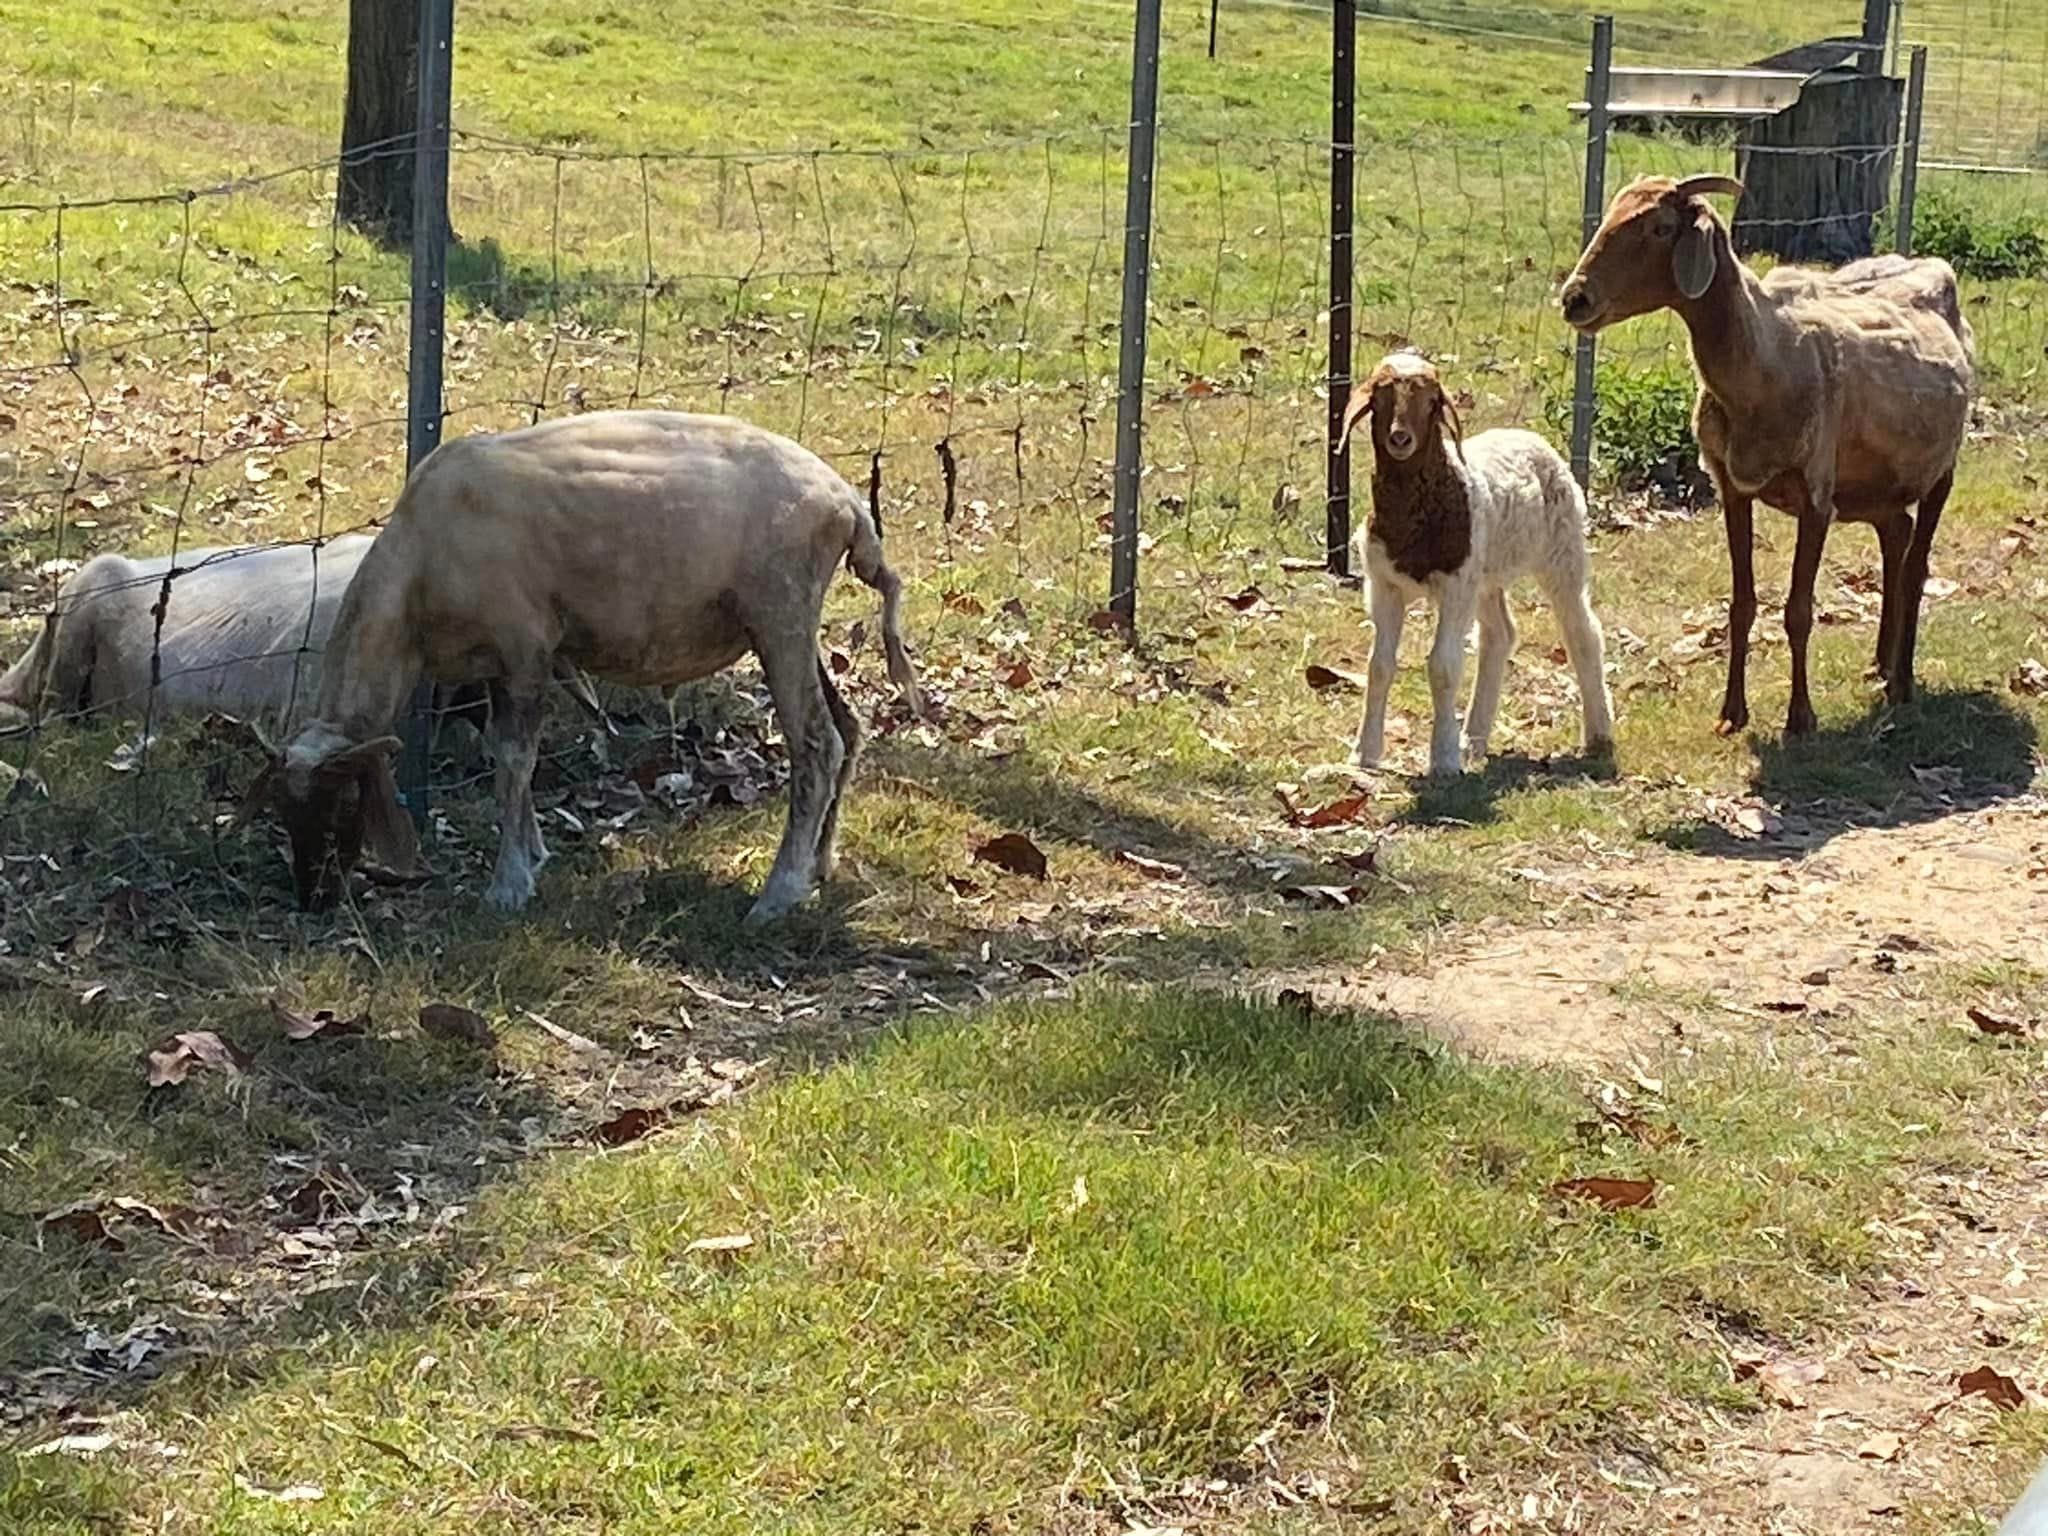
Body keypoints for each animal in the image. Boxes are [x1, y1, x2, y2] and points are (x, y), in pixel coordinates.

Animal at [251, 403, 925, 925]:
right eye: (281, 809)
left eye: (346, 805)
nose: (313, 898)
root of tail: (846, 505)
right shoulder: (501, 664)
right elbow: (507, 759)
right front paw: (533, 853)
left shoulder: (526, 645)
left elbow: (513, 760)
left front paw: (509, 883)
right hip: (792, 625)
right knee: (848, 728)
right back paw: (818, 865)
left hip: (780, 609)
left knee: (817, 744)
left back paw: (778, 894)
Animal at [1343, 350, 1613, 782]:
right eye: (1379, 398)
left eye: (1432, 402)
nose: (1400, 438)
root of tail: (1530, 437)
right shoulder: (1384, 585)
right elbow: (1379, 666)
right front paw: (1365, 753)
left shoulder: (1455, 585)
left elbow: (1443, 666)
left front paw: (1443, 758)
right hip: (1485, 575)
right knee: (1499, 635)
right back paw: (1474, 737)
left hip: (1561, 554)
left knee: (1583, 633)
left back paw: (1599, 732)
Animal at [1556, 174, 1974, 741]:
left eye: (1661, 228)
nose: (1574, 299)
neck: (1762, 359)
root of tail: (1931, 265)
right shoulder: (1732, 485)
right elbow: (1742, 604)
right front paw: (1732, 712)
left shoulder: (1816, 493)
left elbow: (1798, 610)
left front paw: (1800, 716)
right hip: (1876, 482)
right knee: (1897, 536)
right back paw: (1881, 664)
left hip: (1939, 470)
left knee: (1915, 566)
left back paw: (1902, 682)